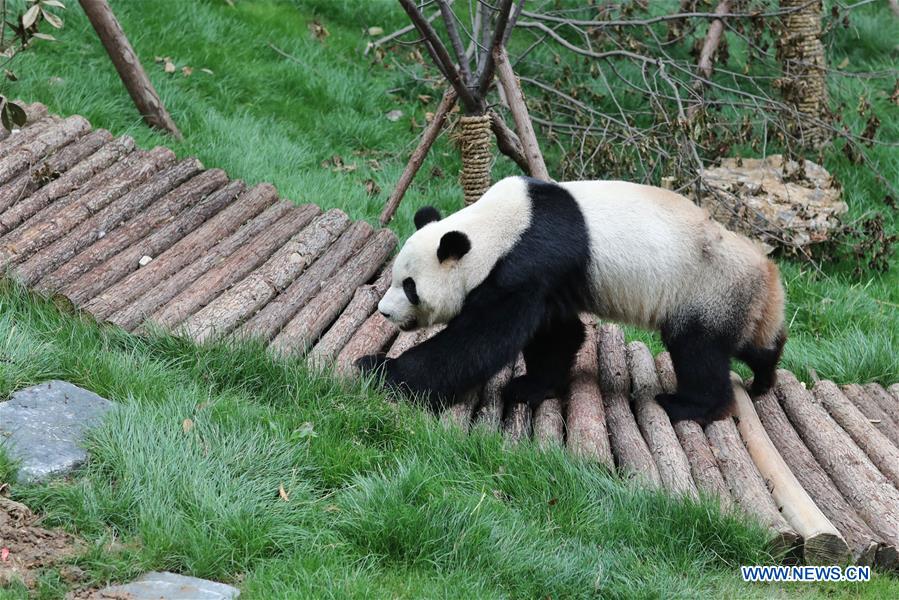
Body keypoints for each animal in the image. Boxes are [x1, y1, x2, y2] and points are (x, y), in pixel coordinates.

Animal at [356, 176, 784, 424]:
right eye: (394, 279)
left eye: (410, 287)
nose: (385, 312)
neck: (499, 226)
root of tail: (767, 274)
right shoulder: (551, 277)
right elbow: (556, 334)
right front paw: (533, 386)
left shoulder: (530, 259)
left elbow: (481, 340)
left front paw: (380, 370)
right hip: (731, 299)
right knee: (748, 342)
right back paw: (765, 373)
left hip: (704, 288)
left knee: (698, 351)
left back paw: (690, 406)